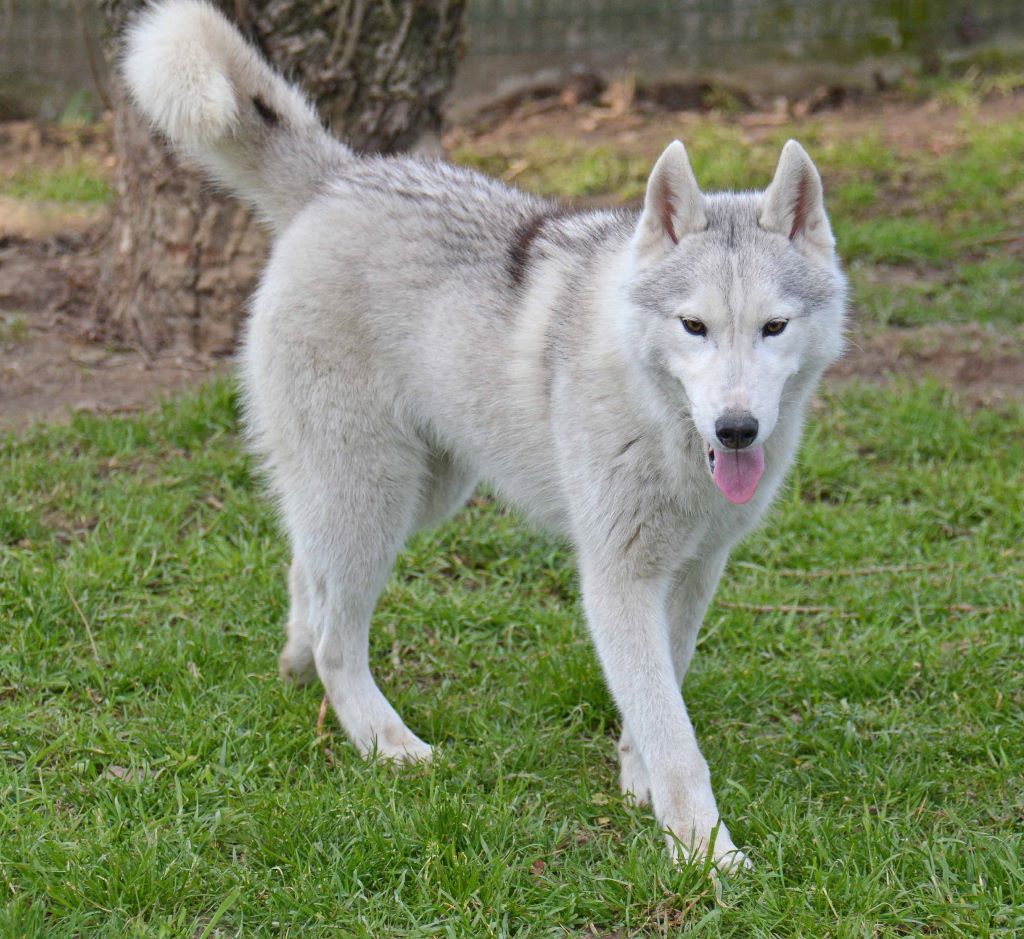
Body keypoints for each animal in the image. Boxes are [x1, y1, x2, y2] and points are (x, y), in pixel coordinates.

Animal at [124, 0, 846, 870]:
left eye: (774, 327)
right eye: (694, 326)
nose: (737, 429)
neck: (660, 417)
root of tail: (339, 178)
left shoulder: (695, 571)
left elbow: (660, 694)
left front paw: (637, 780)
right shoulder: (618, 579)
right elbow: (677, 736)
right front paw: (706, 855)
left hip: (416, 494)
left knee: (306, 567)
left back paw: (297, 662)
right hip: (374, 499)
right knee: (338, 633)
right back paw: (385, 740)